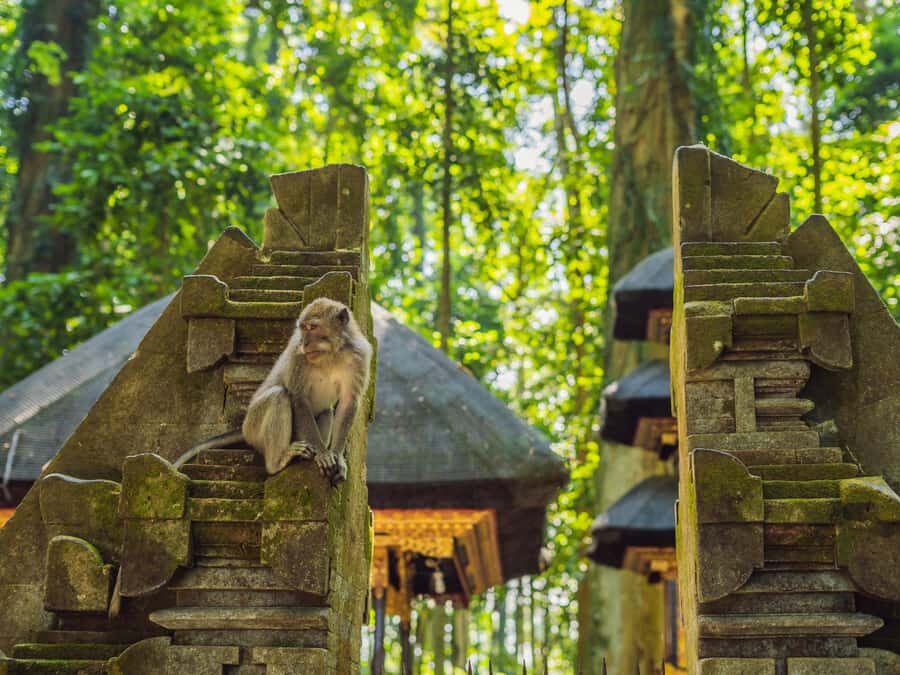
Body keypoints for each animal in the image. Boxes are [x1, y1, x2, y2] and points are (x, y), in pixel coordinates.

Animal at [173, 298, 372, 486]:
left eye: (313, 327)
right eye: (303, 328)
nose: (305, 342)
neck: (331, 355)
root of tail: (243, 427)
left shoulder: (360, 357)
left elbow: (348, 402)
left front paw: (337, 456)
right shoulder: (297, 355)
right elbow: (298, 399)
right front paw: (323, 454)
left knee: (325, 411)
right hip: (253, 427)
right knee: (278, 396)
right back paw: (278, 462)